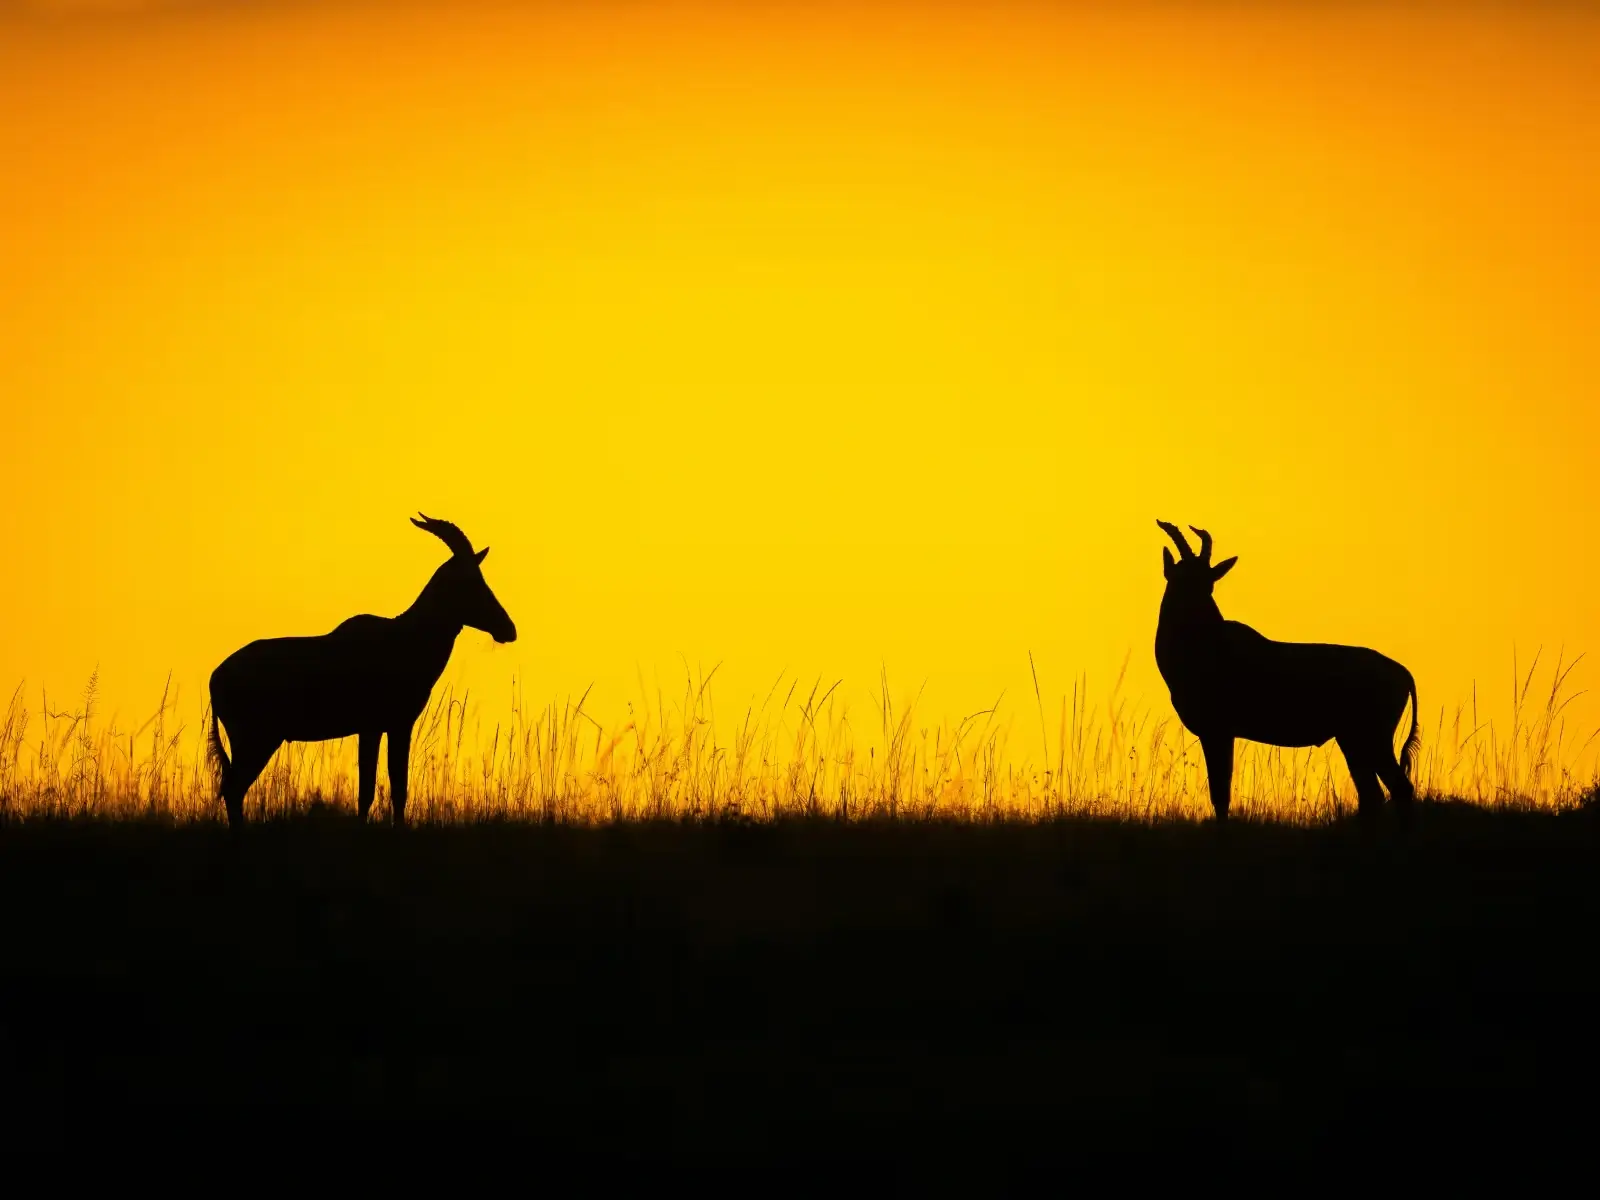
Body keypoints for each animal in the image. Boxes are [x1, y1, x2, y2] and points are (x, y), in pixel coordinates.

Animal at [207, 514, 517, 828]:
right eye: (470, 581)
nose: (508, 629)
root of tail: (216, 676)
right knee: (233, 790)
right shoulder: (384, 726)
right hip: (257, 740)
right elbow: (378, 789)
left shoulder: (386, 727)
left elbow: (389, 789)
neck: (403, 635)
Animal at [1154, 521, 1419, 824]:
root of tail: (1402, 672)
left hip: (1374, 738)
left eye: (1208, 583)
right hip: (1351, 739)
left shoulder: (1218, 731)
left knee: (1399, 787)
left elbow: (1220, 795)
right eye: (1183, 579)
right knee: (1372, 793)